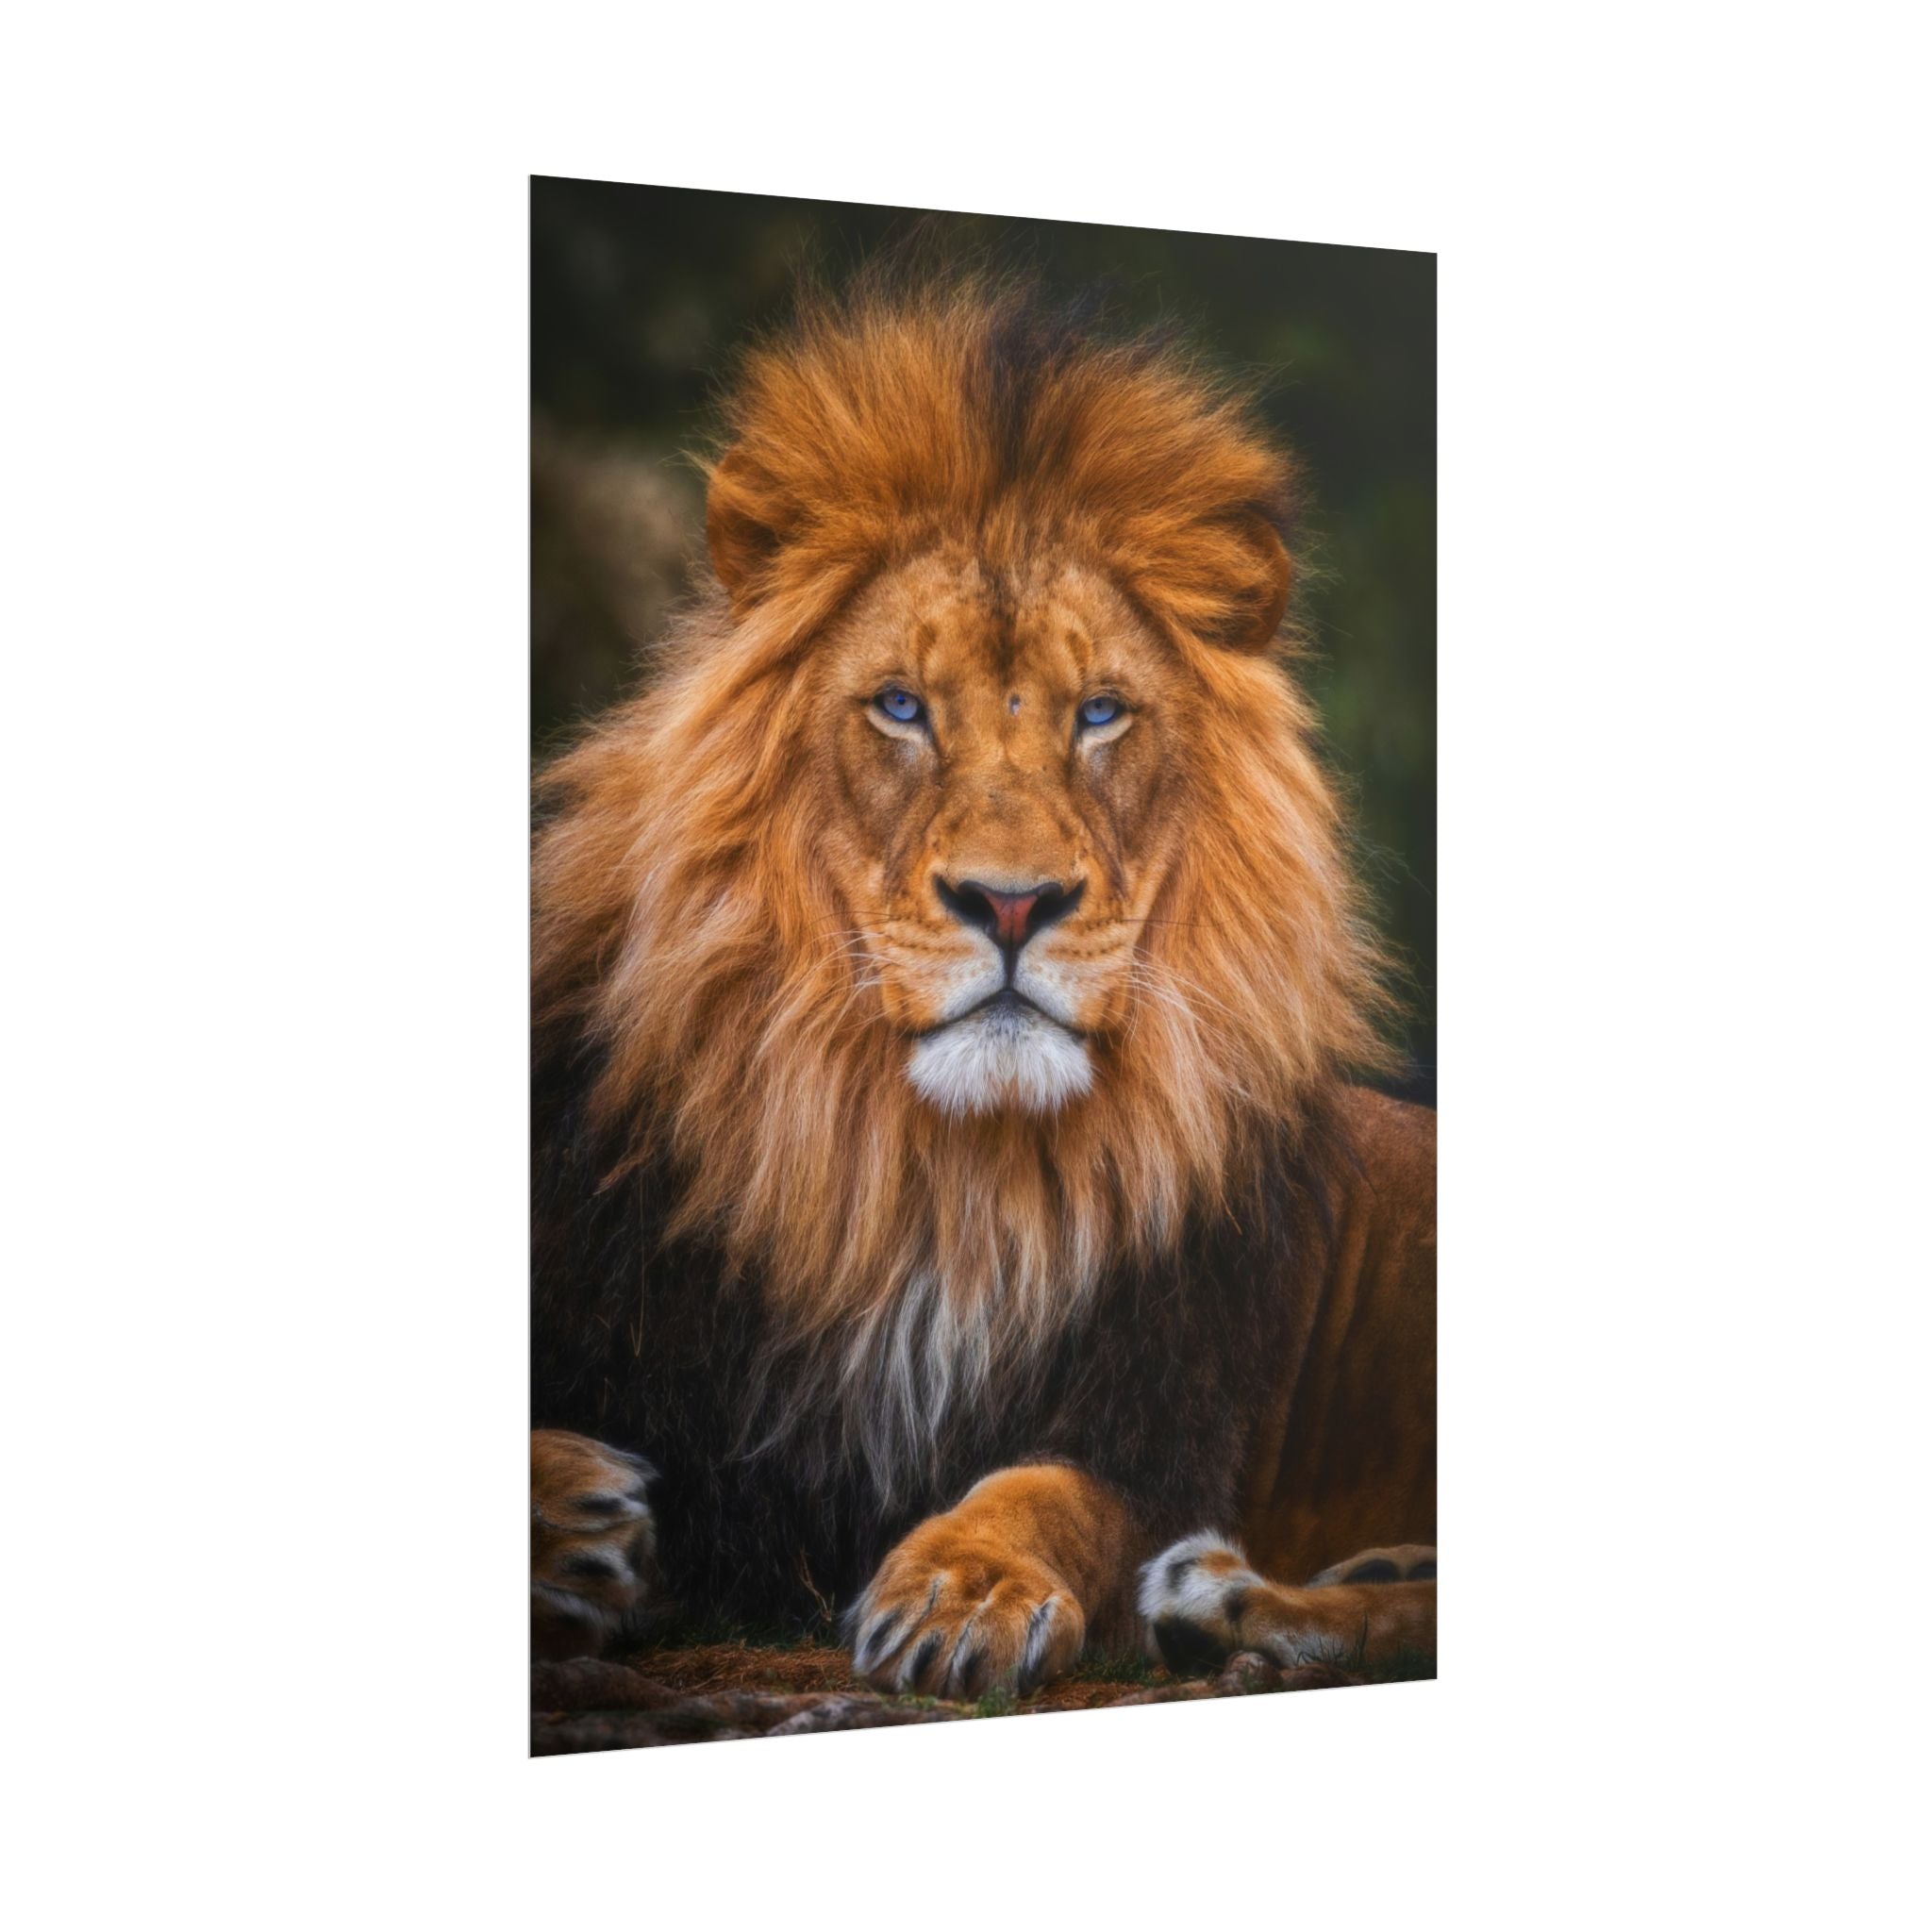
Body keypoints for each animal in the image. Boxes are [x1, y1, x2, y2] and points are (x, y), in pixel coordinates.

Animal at [530, 275, 1435, 1699]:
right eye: (901, 707)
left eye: (1100, 713)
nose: (1011, 904)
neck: (933, 1178)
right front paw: (573, 1516)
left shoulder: (1160, 1426)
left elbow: (1047, 1492)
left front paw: (964, 1588)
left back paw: (1234, 1603)